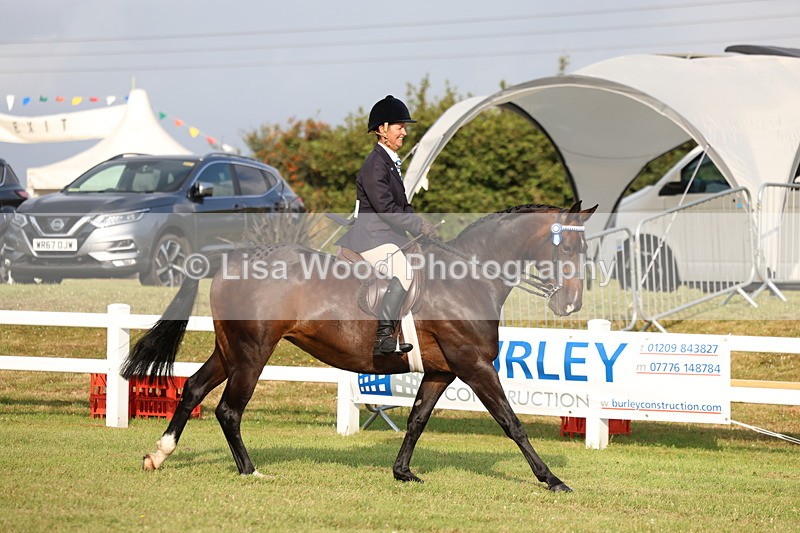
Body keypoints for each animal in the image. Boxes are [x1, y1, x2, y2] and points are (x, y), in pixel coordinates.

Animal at [121, 201, 597, 493]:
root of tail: (232, 257)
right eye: (569, 246)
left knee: (193, 390)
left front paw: (403, 473)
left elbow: (416, 421)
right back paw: (251, 471)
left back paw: (159, 455)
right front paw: (552, 479)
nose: (571, 303)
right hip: (253, 353)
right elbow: (511, 423)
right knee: (228, 410)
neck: (469, 277)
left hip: (229, 351)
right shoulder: (475, 365)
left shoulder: (441, 371)